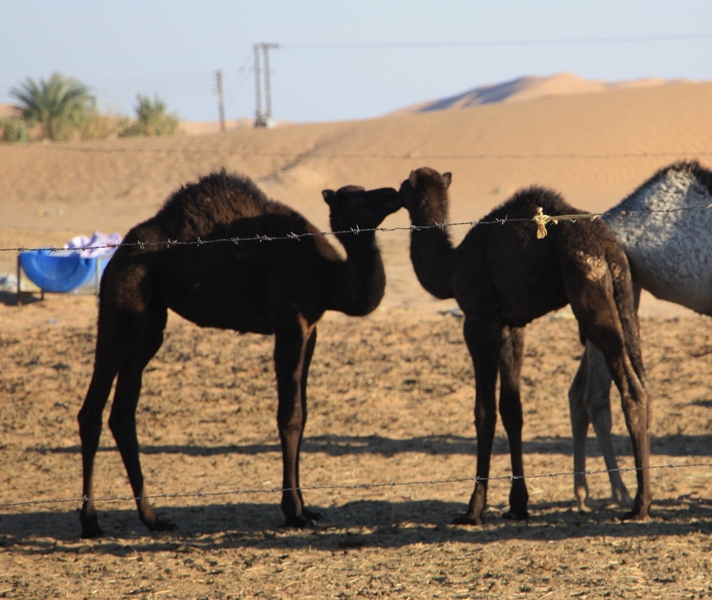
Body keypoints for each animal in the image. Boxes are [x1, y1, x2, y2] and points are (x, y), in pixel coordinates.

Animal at [78, 170, 404, 540]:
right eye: (359, 198)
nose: (394, 193)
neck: (328, 275)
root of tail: (117, 256)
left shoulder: (311, 329)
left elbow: (304, 413)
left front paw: (308, 509)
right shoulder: (289, 322)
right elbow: (290, 416)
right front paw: (293, 513)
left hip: (150, 320)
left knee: (123, 412)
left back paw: (153, 519)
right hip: (124, 301)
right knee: (93, 408)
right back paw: (91, 522)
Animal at [400, 166, 652, 524]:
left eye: (404, 187)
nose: (395, 193)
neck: (450, 267)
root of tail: (610, 250)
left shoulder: (479, 321)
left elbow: (484, 412)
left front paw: (473, 509)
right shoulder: (510, 327)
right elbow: (512, 410)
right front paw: (518, 504)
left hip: (590, 295)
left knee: (630, 388)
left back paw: (639, 505)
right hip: (625, 296)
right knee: (641, 380)